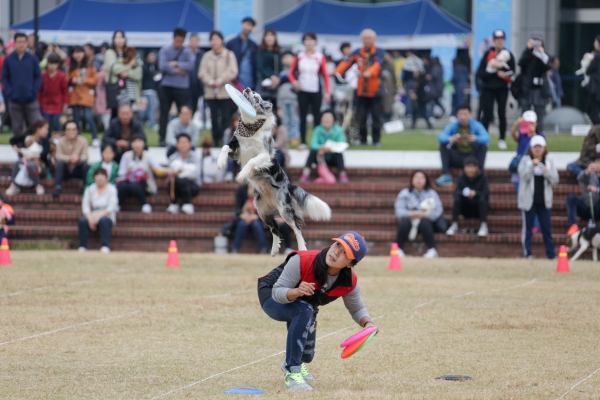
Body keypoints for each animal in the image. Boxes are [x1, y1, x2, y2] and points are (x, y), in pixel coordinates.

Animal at [218, 87, 332, 256]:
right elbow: (224, 147)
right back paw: (274, 249)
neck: (250, 128)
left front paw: (242, 174)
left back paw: (302, 249)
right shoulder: (236, 148)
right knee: (275, 229)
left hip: (284, 210)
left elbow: (252, 161)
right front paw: (220, 162)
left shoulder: (265, 155)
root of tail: (289, 185)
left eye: (257, 98)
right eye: (252, 92)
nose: (248, 88)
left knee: (296, 228)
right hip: (261, 211)